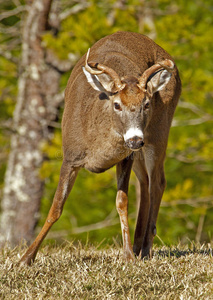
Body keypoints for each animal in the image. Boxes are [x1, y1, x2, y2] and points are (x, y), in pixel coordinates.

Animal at [19, 30, 181, 264]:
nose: (134, 139)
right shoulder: (70, 156)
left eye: (147, 104)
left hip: (158, 132)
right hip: (141, 150)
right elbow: (56, 207)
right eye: (117, 104)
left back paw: (145, 248)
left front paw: (127, 256)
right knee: (145, 182)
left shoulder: (126, 156)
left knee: (158, 182)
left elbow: (122, 202)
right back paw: (139, 246)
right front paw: (26, 258)